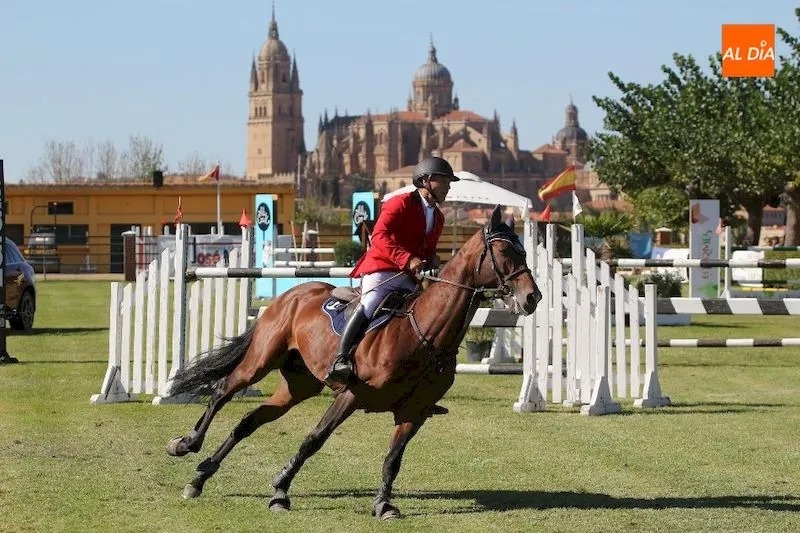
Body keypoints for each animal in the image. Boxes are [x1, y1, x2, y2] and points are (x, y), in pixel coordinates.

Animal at [164, 205, 541, 520]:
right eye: (504, 251)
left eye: (523, 250)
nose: (532, 297)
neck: (425, 332)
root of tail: (290, 295)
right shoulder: (350, 395)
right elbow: (313, 440)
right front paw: (280, 491)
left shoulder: (414, 411)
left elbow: (392, 460)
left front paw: (383, 505)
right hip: (260, 361)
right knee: (222, 391)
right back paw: (186, 444)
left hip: (297, 386)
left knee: (248, 421)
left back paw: (200, 477)